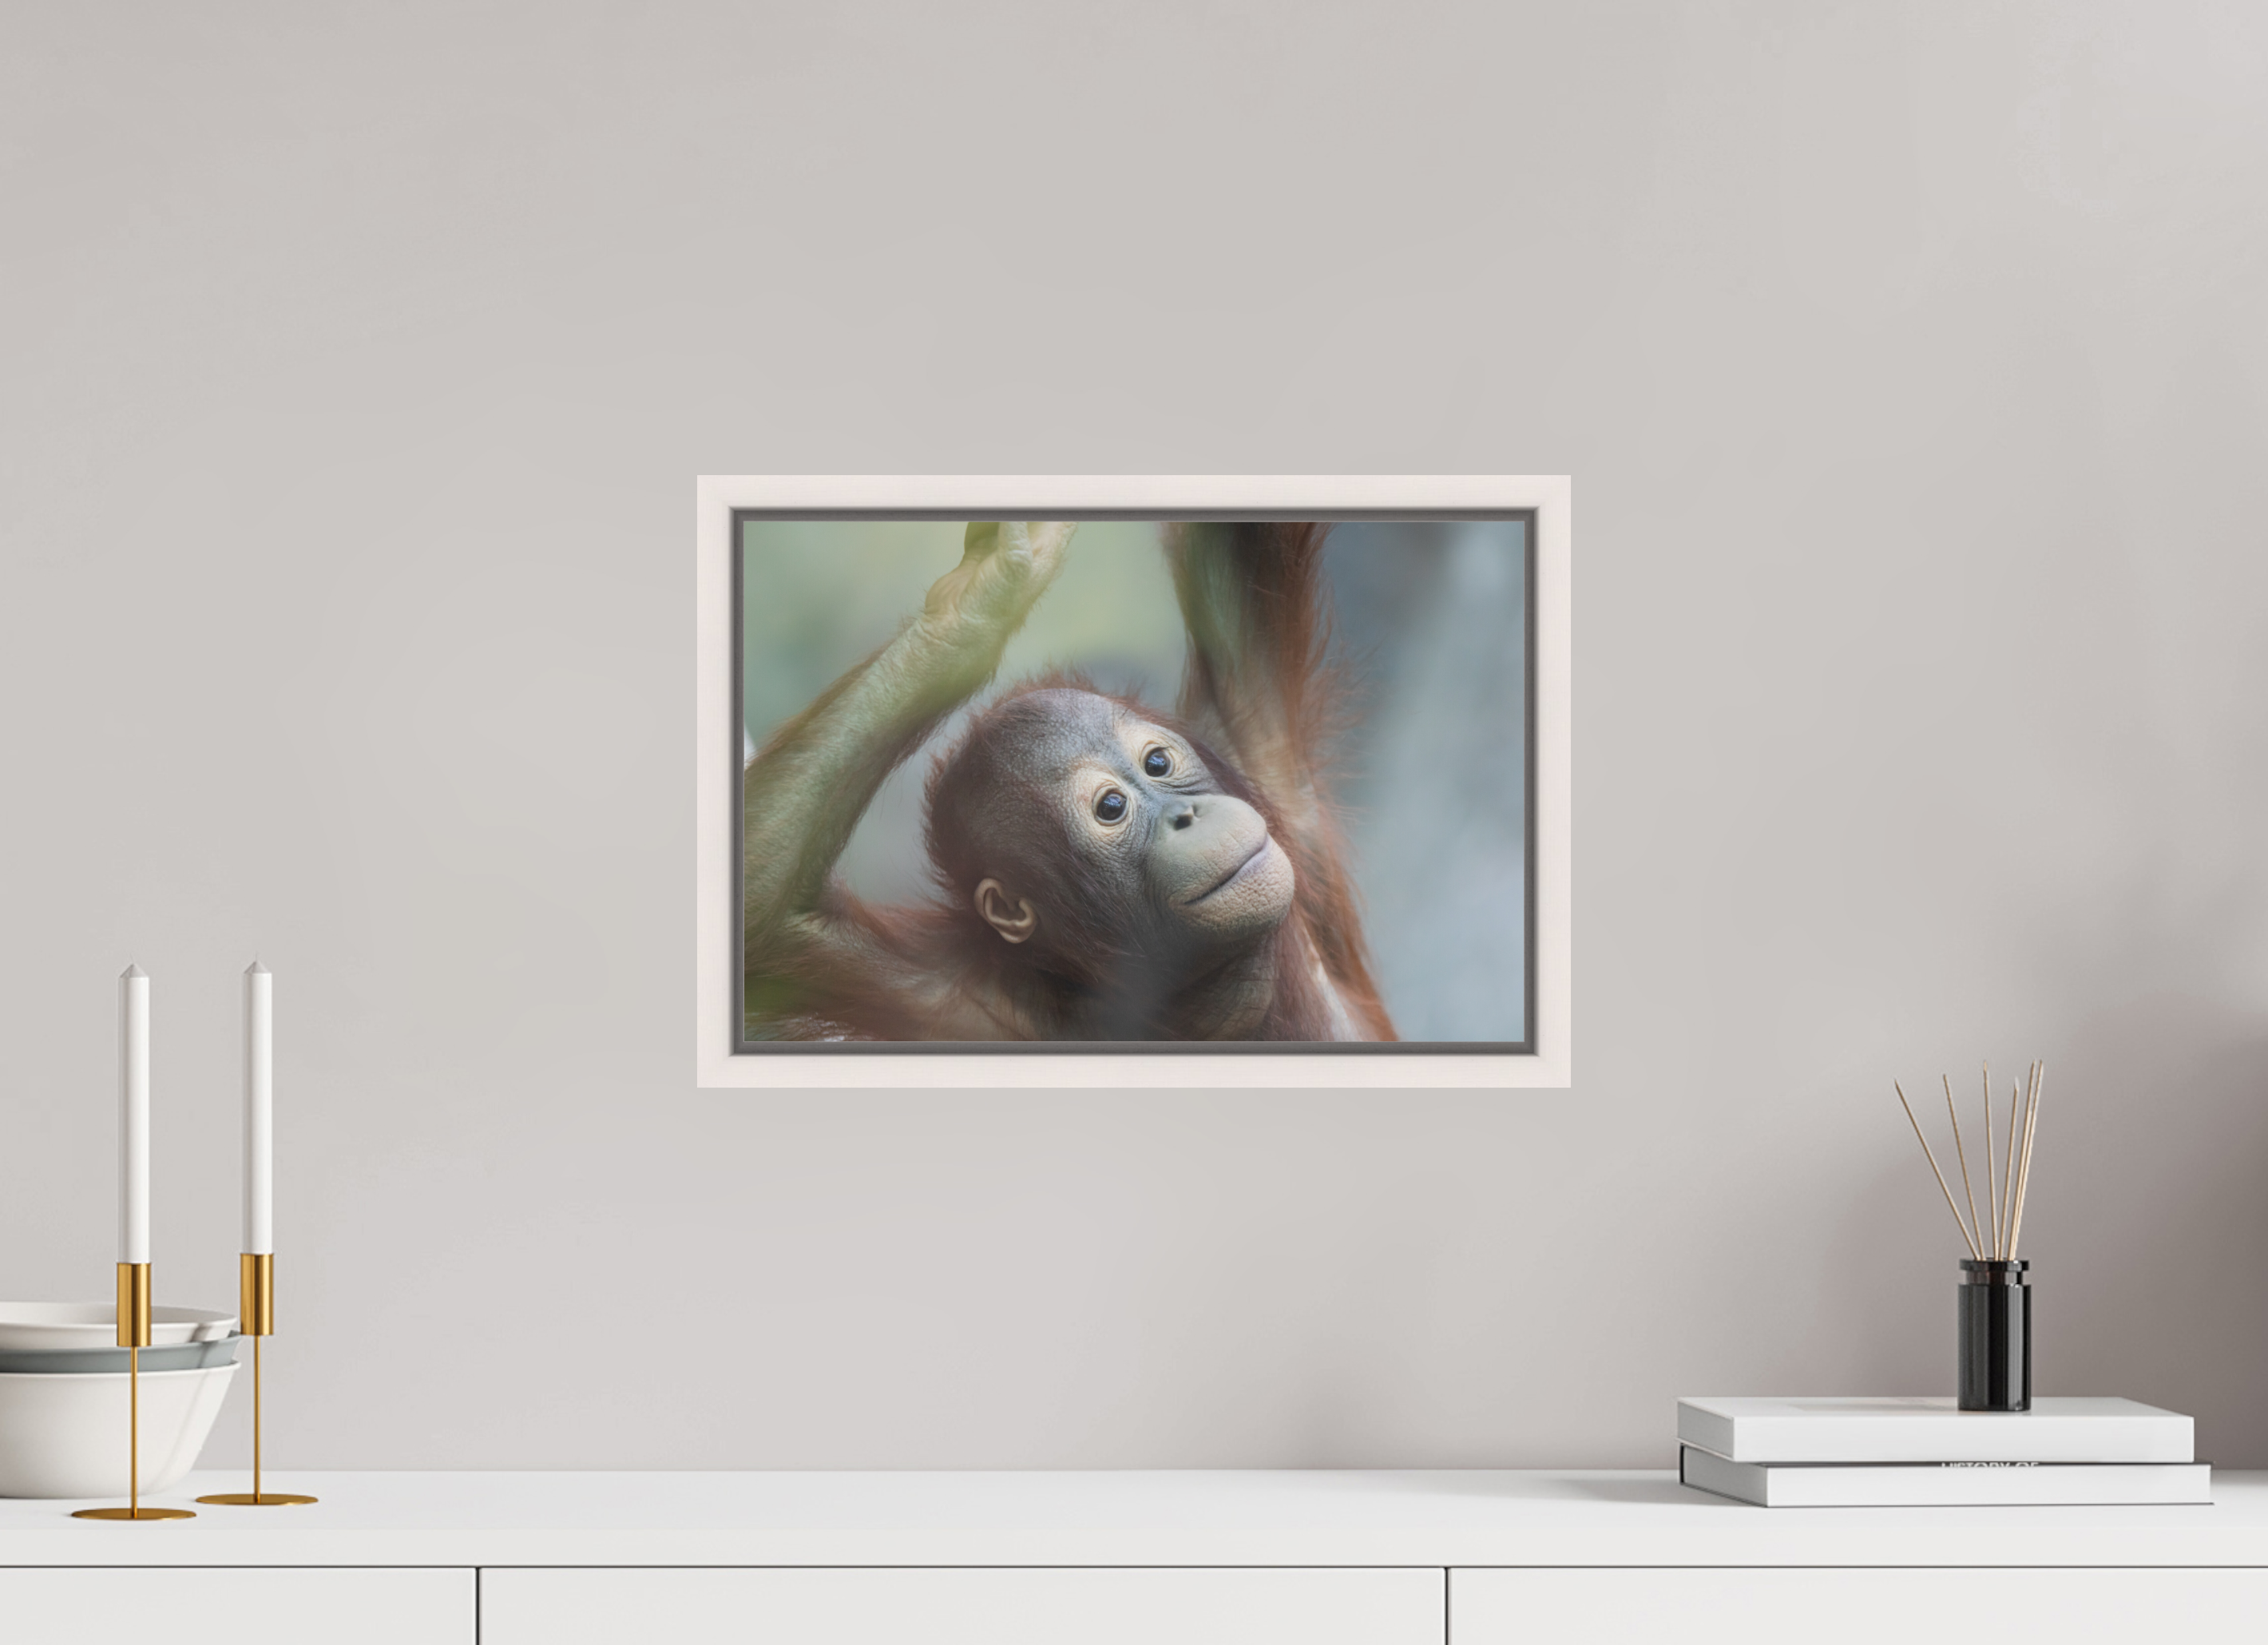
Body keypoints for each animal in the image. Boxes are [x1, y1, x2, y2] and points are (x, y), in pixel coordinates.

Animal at [741, 520, 1394, 1042]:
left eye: (1159, 765)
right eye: (1111, 808)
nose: (1187, 815)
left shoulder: (1244, 740)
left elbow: (1236, 552)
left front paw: (987, 587)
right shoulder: (951, 995)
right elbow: (771, 925)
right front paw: (976, 607)